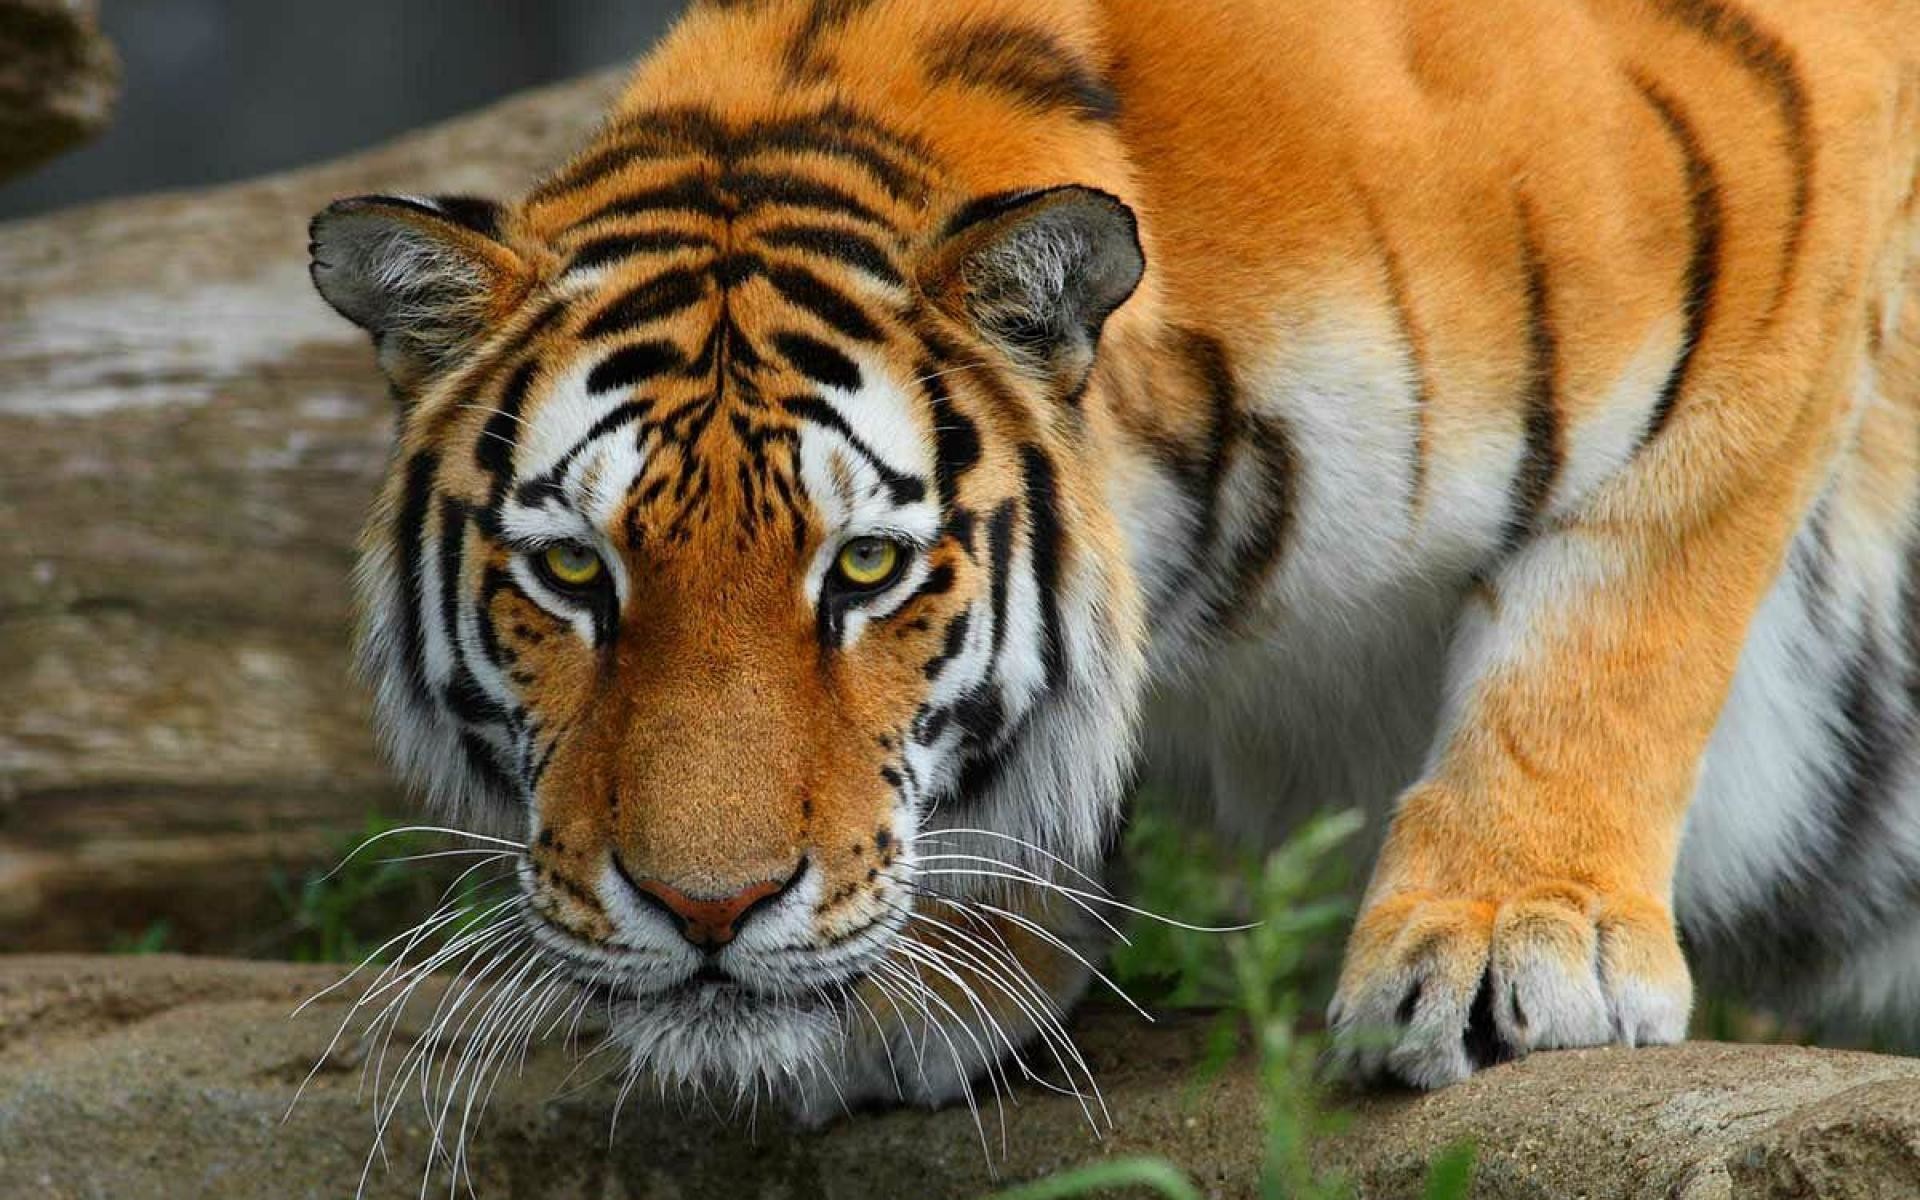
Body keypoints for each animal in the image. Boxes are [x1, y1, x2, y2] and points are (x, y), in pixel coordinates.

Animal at [308, 0, 1920, 1116]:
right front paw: (947, 980)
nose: (708, 914)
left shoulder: (1771, 219)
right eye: (575, 574)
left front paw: (1519, 942)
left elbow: (1615, 624)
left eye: (866, 570)